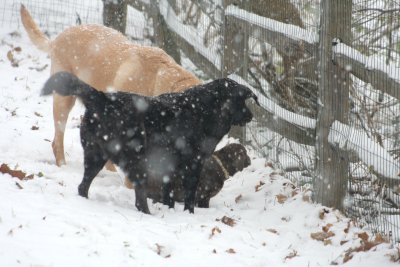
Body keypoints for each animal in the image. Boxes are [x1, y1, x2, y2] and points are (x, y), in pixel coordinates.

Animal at [41, 72, 260, 215]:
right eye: (243, 101)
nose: (251, 116)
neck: (205, 110)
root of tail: (103, 99)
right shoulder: (193, 165)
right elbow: (190, 196)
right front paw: (189, 214)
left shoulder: (170, 166)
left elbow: (168, 193)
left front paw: (169, 209)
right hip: (137, 162)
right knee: (139, 199)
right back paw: (147, 213)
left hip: (95, 155)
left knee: (83, 186)